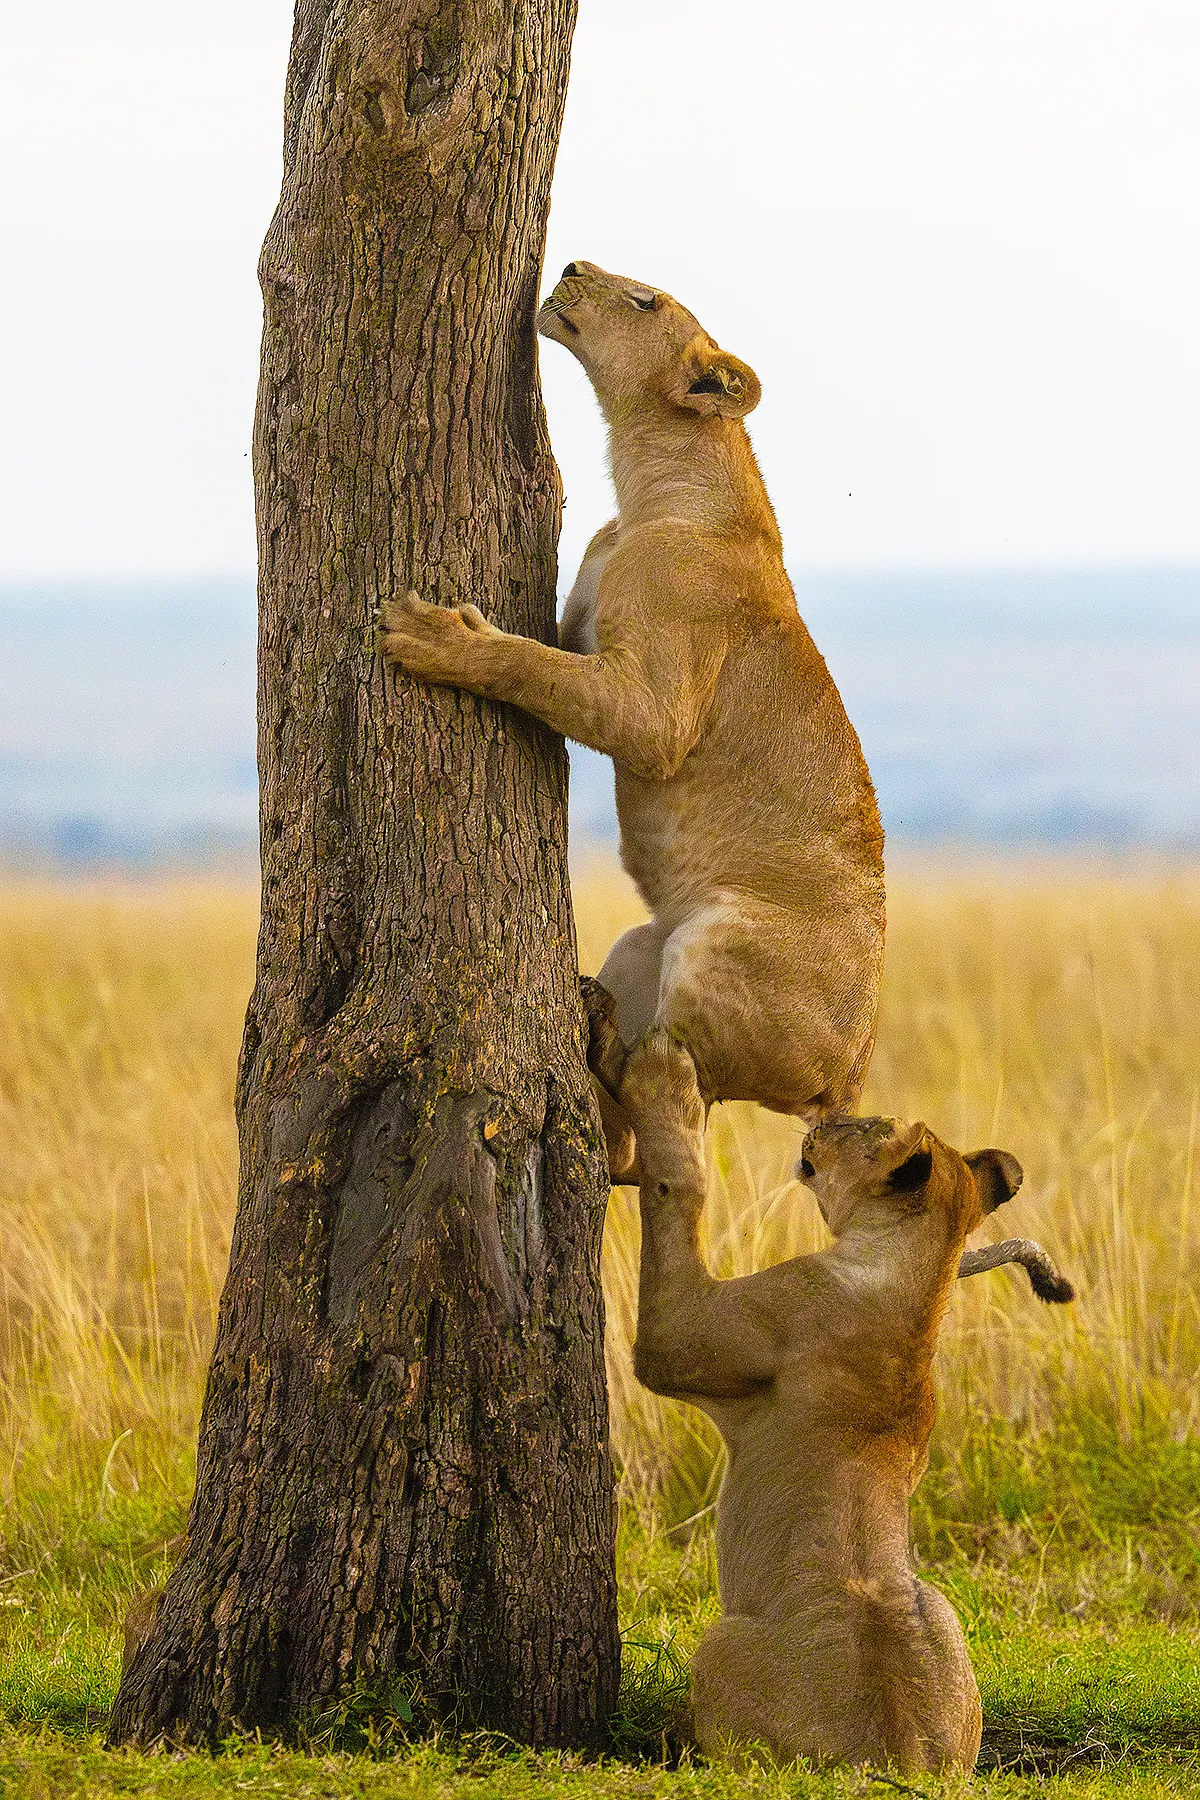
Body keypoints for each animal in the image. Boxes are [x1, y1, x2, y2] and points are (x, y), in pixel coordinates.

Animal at [379, 260, 885, 1178]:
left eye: (646, 301)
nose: (573, 264)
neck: (650, 489)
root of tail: (849, 1081)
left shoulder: (655, 709)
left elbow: (529, 665)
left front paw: (432, 636)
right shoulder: (579, 625)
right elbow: (540, 649)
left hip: (714, 941)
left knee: (674, 1098)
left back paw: (612, 1047)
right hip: (641, 945)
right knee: (621, 1148)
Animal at [616, 1026, 1072, 1773]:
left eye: (863, 1127)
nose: (822, 1116)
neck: (920, 1282)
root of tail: (899, 1756)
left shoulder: (679, 1337)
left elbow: (678, 1184)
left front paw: (665, 1074)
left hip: (719, 1642)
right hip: (941, 1610)